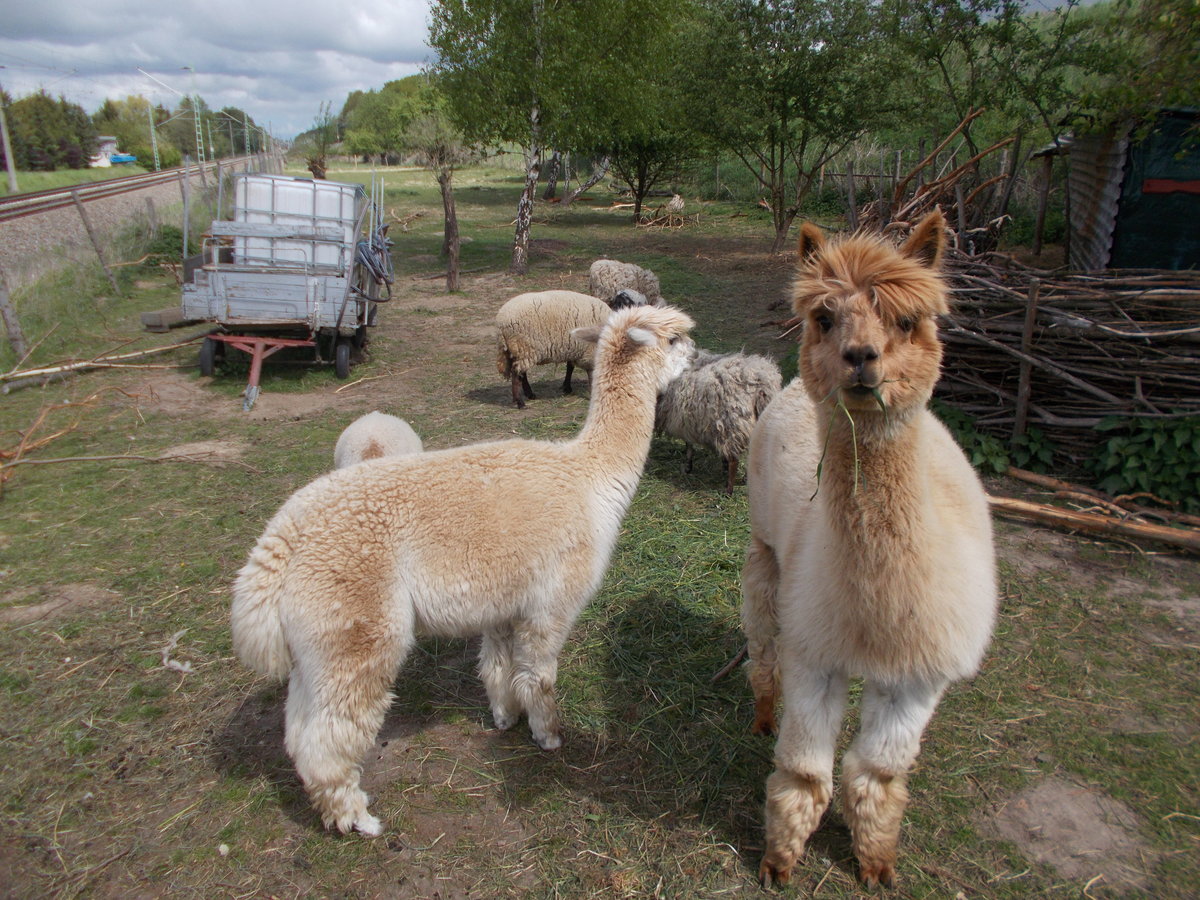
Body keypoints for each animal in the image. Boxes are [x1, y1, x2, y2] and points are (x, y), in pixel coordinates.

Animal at [229, 303, 700, 840]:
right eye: (674, 340)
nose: (699, 356)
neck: (590, 476)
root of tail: (279, 543)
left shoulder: (504, 602)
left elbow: (496, 668)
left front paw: (505, 719)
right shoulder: (552, 601)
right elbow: (537, 676)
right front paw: (548, 735)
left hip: (313, 647)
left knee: (298, 731)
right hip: (354, 628)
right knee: (329, 736)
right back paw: (359, 819)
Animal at [652, 350, 782, 494]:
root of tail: (762, 385)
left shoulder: (683, 418)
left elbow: (689, 445)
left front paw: (687, 467)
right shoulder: (687, 419)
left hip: (732, 424)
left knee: (734, 460)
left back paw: (728, 490)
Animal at [739, 213, 993, 897]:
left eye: (908, 320)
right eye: (825, 317)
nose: (861, 359)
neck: (879, 614)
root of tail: (788, 386)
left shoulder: (918, 676)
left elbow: (876, 773)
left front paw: (877, 863)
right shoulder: (817, 653)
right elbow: (806, 772)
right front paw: (779, 861)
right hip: (765, 550)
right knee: (763, 641)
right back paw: (762, 714)